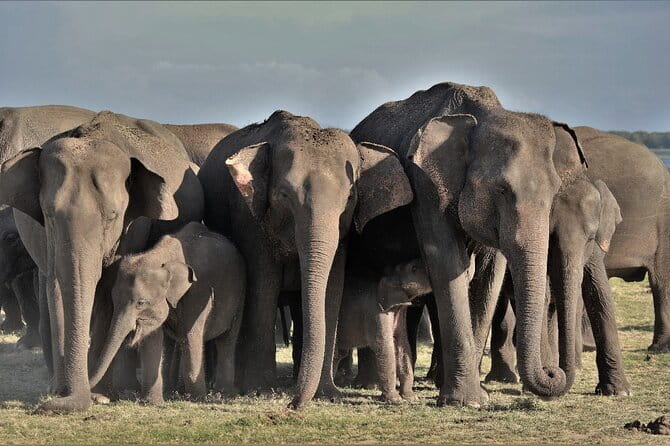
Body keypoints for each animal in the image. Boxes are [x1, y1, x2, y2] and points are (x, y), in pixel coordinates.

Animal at [0, 110, 204, 412]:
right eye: (48, 214)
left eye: (113, 216)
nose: (49, 404)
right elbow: (56, 288)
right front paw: (63, 391)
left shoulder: (134, 227)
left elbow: (108, 291)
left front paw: (99, 395)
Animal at [89, 222, 245, 403]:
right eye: (114, 301)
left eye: (141, 303)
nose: (96, 397)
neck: (160, 255)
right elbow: (153, 338)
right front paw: (153, 402)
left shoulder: (198, 291)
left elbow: (191, 334)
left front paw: (197, 398)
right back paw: (177, 390)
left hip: (240, 294)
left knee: (227, 340)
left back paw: (222, 393)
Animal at [198, 110, 413, 409]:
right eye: (284, 195)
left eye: (350, 197)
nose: (292, 404)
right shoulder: (249, 219)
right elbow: (264, 285)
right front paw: (260, 390)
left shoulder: (343, 235)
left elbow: (333, 287)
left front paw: (328, 393)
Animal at [334, 259, 431, 402]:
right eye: (414, 268)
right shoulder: (376, 313)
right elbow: (384, 346)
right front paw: (395, 400)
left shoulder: (399, 313)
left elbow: (402, 343)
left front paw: (411, 397)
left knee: (338, 353)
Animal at [350, 82, 589, 406]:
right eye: (501, 190)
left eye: (554, 193)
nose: (554, 373)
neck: (482, 113)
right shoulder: (426, 186)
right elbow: (447, 263)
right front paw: (464, 400)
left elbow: (489, 276)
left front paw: (479, 396)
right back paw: (370, 384)